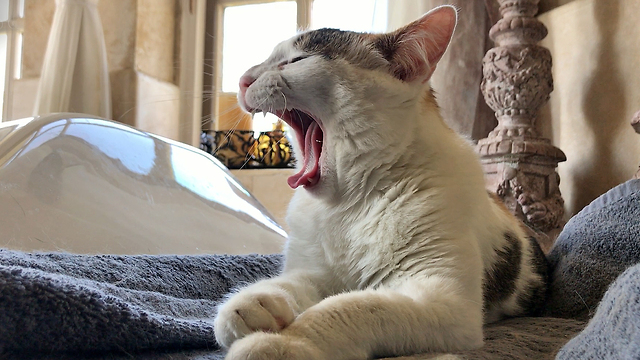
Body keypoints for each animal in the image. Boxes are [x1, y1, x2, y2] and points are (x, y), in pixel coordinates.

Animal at [212, 6, 548, 360]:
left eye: (297, 60)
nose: (242, 79)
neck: (349, 205)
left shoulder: (443, 300)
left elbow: (347, 308)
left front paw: (283, 342)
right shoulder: (319, 272)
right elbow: (294, 282)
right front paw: (250, 302)